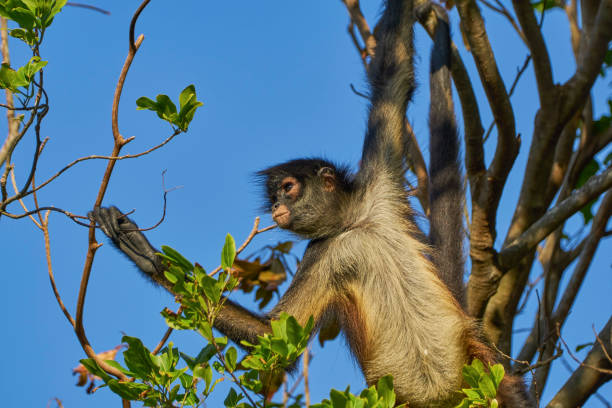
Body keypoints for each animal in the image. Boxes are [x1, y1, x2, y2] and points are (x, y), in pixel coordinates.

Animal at [89, 1, 532, 406]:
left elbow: (394, 79)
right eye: (273, 195)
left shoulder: (380, 183)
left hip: (484, 372)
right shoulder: (322, 252)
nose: (275, 207)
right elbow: (272, 339)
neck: (354, 224)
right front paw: (147, 257)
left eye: (287, 188)